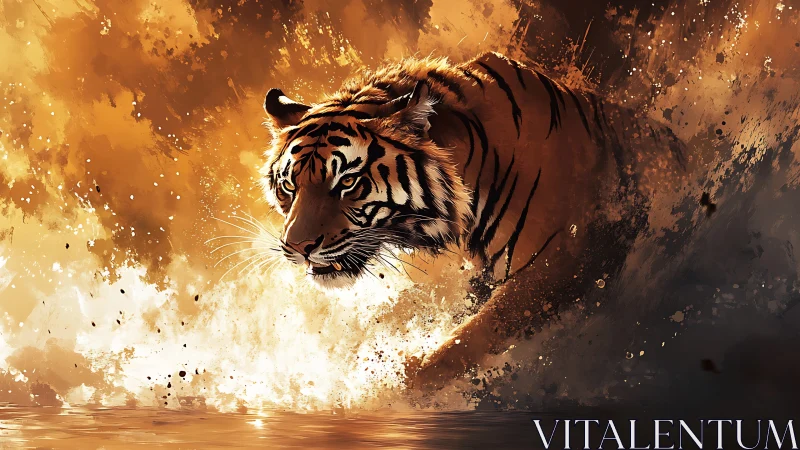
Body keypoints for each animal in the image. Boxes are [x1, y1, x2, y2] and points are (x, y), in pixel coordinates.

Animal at [259, 52, 690, 390]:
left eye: (347, 181)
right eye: (289, 185)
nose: (297, 248)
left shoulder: (567, 258)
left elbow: (471, 337)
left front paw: (397, 386)